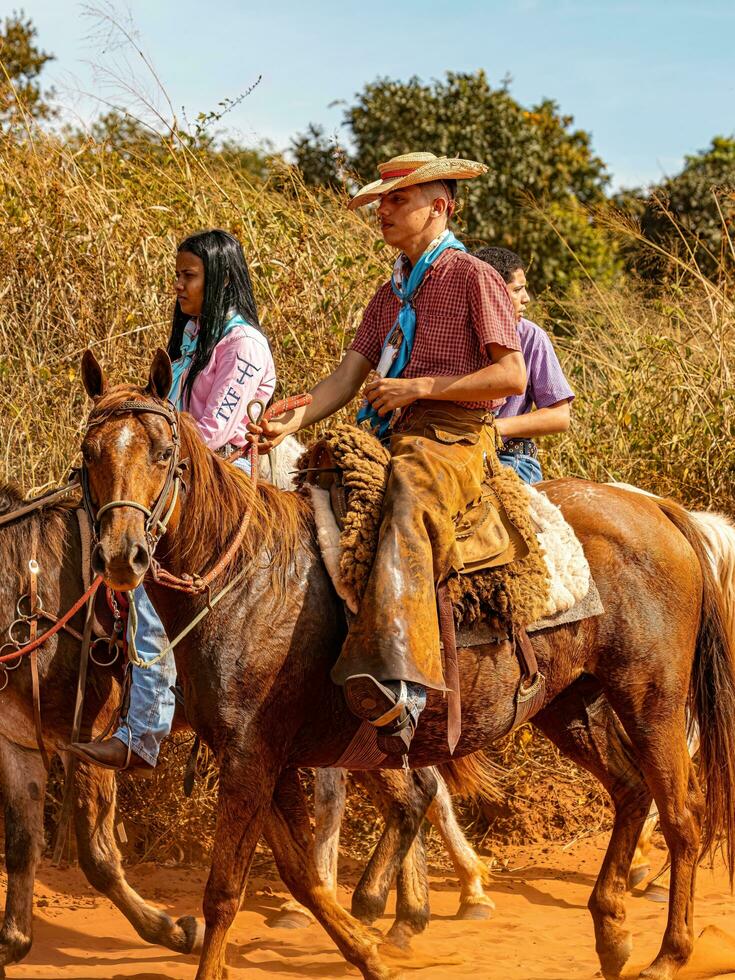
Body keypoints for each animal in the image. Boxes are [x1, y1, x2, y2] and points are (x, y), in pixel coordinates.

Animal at [79, 350, 735, 980]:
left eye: (164, 453)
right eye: (89, 454)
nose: (121, 555)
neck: (246, 577)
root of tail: (659, 508)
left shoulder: (249, 757)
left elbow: (225, 891)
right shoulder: (266, 760)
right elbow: (305, 877)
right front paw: (370, 954)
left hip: (651, 701)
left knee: (682, 817)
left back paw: (669, 953)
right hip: (571, 705)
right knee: (629, 791)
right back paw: (612, 933)